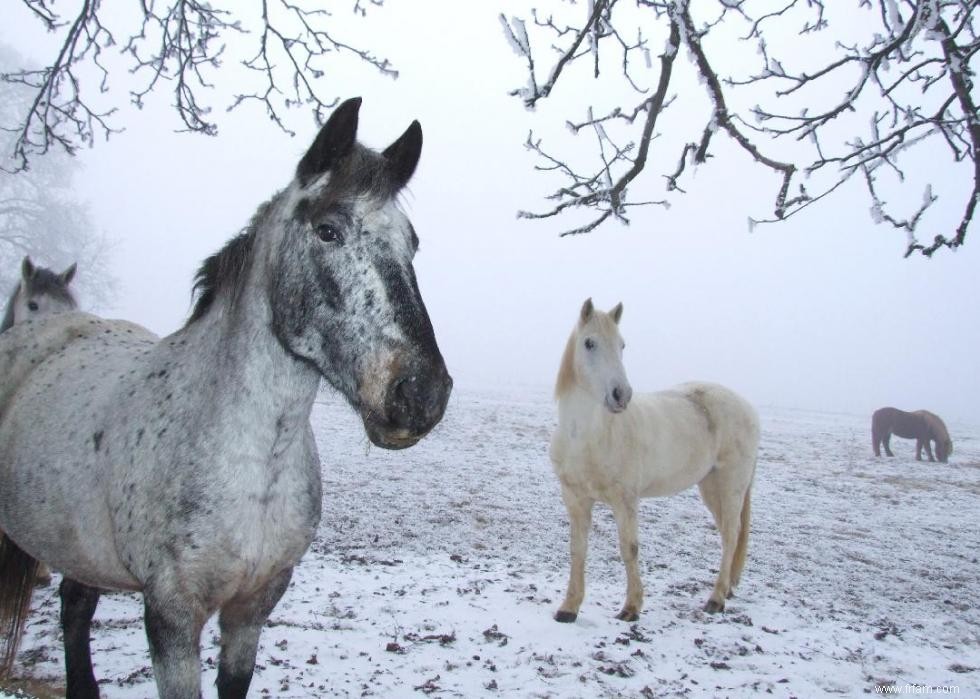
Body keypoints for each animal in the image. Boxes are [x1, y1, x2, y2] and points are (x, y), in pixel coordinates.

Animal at [552, 298, 756, 620]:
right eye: (589, 343)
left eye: (622, 345)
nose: (621, 395)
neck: (585, 436)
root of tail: (748, 409)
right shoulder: (575, 499)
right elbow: (577, 550)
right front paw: (569, 608)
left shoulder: (625, 500)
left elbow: (629, 548)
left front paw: (632, 607)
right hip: (711, 487)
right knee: (727, 533)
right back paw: (726, 591)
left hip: (730, 486)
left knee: (731, 535)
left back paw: (715, 599)